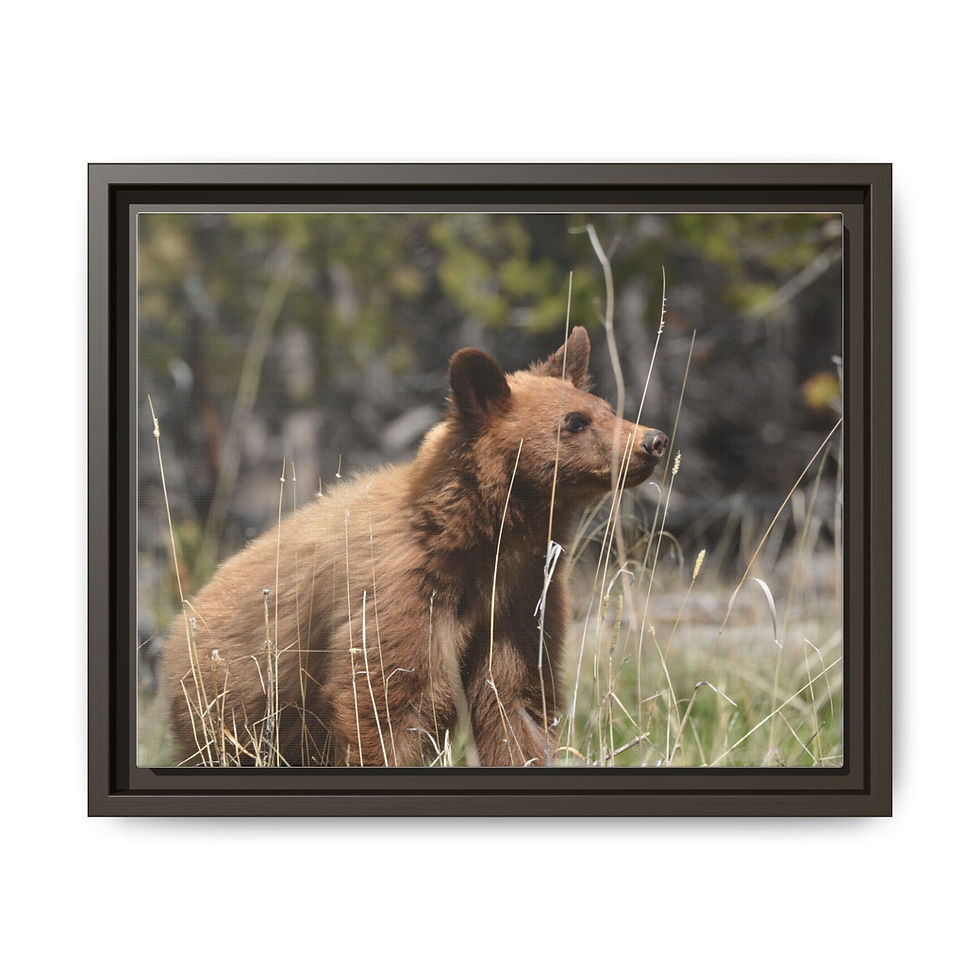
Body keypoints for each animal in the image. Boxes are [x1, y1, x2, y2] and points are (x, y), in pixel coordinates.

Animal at [161, 326, 667, 767]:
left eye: (606, 407)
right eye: (576, 422)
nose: (654, 440)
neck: (477, 542)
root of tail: (182, 619)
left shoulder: (520, 603)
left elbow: (515, 702)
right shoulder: (400, 595)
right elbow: (387, 704)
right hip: (225, 704)